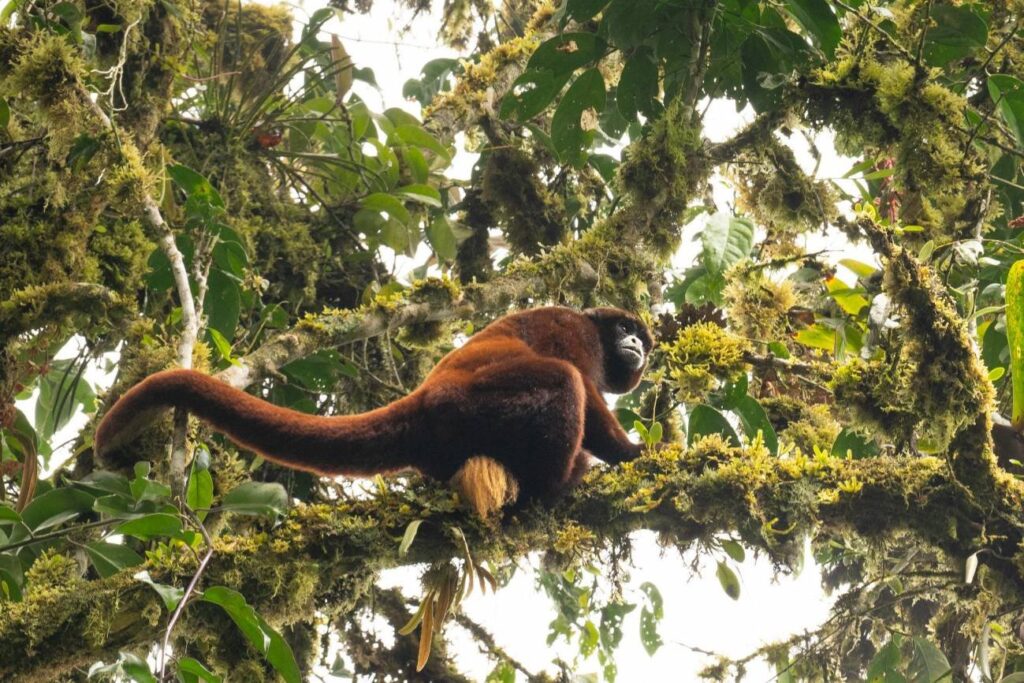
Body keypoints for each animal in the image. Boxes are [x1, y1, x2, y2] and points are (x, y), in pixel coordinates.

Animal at [95, 307, 655, 516]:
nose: (638, 347)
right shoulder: (573, 330)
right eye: (626, 329)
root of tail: (421, 399)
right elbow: (583, 385)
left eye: (642, 339)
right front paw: (632, 454)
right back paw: (555, 483)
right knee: (561, 381)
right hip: (470, 405)